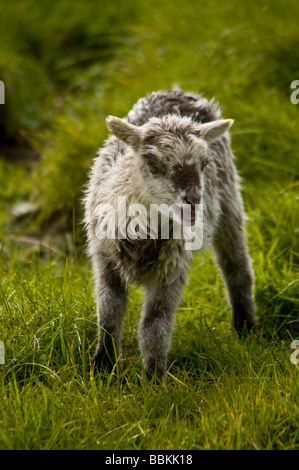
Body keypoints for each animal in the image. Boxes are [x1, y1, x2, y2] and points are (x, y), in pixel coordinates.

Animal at [84, 89, 258, 382]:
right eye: (153, 166)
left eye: (204, 164)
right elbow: (109, 310)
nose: (194, 201)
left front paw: (155, 379)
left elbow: (155, 325)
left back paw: (246, 328)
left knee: (237, 269)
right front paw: (103, 366)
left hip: (230, 203)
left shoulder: (171, 269)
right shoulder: (105, 256)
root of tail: (177, 92)